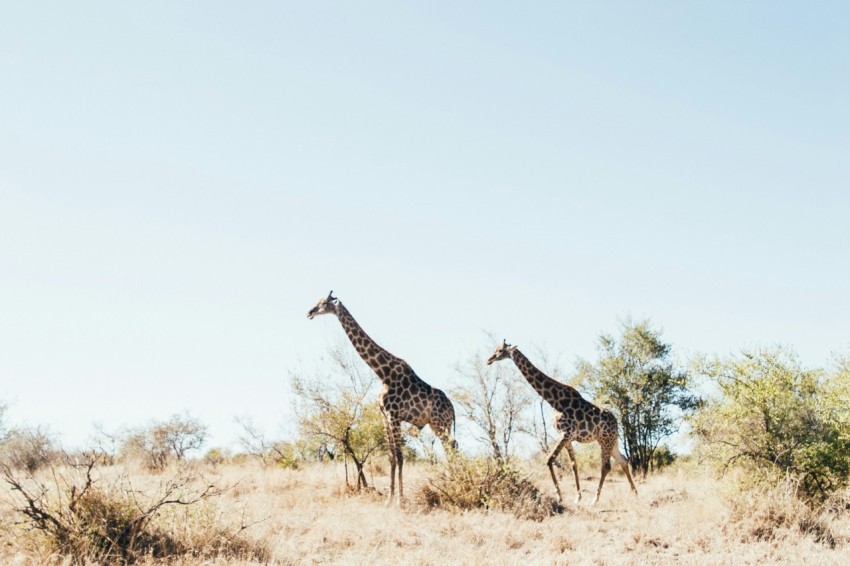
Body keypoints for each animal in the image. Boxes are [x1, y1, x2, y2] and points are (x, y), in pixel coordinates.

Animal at [308, 291, 456, 505]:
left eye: (323, 303)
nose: (309, 312)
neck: (383, 373)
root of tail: (453, 408)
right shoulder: (384, 416)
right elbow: (391, 457)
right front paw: (389, 499)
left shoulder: (394, 415)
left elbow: (401, 456)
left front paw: (400, 501)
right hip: (438, 425)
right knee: (452, 448)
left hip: (440, 423)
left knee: (452, 448)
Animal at [487, 339, 637, 505]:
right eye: (495, 349)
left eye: (500, 351)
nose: (489, 360)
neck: (554, 400)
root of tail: (616, 422)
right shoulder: (567, 437)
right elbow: (573, 464)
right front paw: (577, 497)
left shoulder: (566, 433)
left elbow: (549, 459)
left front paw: (559, 496)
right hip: (611, 440)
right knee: (623, 461)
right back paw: (634, 493)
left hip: (605, 439)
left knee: (606, 466)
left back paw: (595, 500)